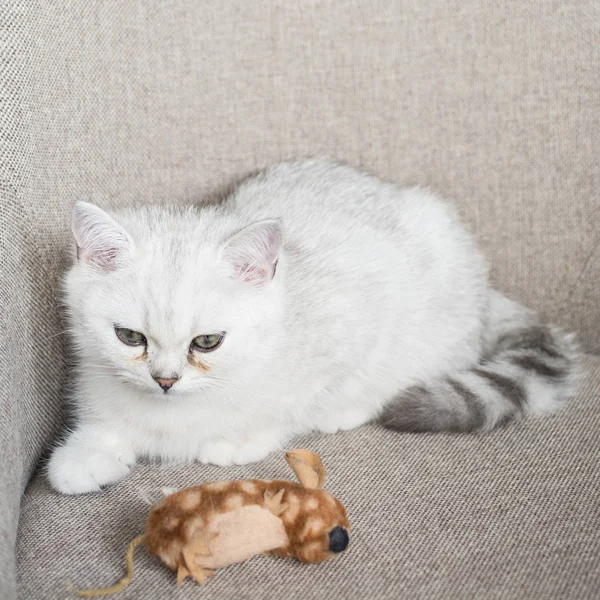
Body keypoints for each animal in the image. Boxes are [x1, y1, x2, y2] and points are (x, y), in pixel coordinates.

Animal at [48, 158, 580, 492]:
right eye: (129, 337)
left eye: (208, 342)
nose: (164, 380)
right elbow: (105, 428)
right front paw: (83, 456)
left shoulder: (352, 329)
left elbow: (293, 407)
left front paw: (239, 439)